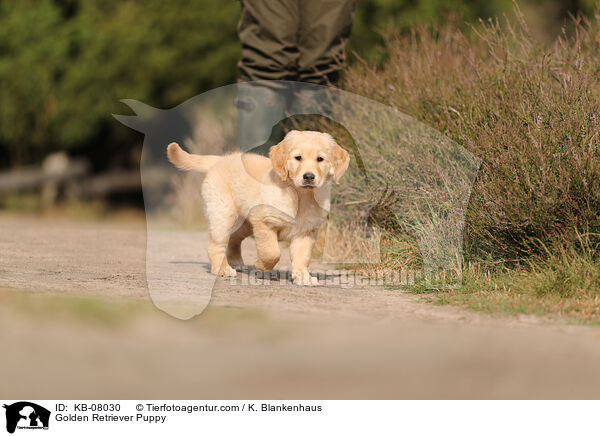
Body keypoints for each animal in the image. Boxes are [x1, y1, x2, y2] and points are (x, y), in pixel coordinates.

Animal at [166, 129, 350, 286]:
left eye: (320, 159)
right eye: (298, 158)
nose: (309, 177)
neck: (301, 196)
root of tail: (220, 159)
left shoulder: (306, 232)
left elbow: (302, 257)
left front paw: (303, 277)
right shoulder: (264, 221)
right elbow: (272, 252)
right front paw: (261, 266)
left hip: (245, 223)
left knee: (234, 237)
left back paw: (236, 262)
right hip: (224, 214)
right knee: (214, 244)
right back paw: (223, 269)